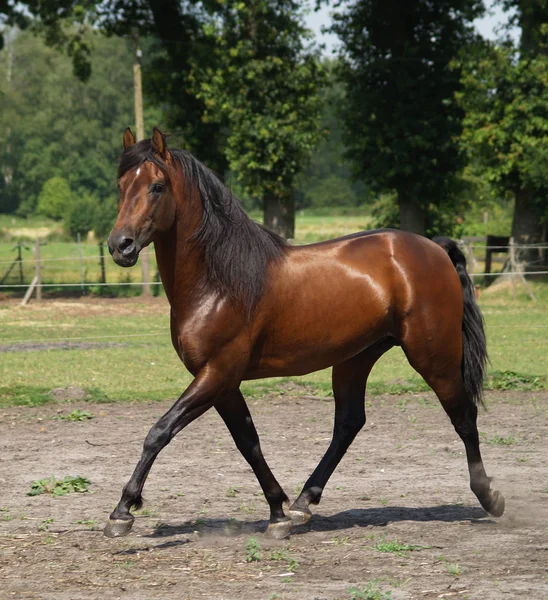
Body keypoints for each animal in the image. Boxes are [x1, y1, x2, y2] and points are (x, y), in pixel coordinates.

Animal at [104, 126, 506, 540]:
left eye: (157, 186)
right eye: (121, 184)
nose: (120, 246)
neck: (218, 283)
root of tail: (435, 250)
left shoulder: (217, 373)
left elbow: (160, 430)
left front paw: (122, 511)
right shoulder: (222, 382)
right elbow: (248, 442)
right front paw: (277, 512)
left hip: (434, 356)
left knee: (463, 416)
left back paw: (489, 497)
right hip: (355, 359)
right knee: (349, 424)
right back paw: (303, 502)